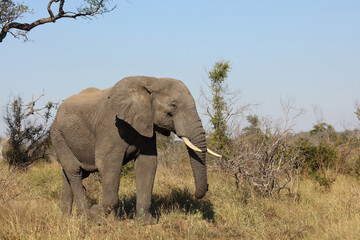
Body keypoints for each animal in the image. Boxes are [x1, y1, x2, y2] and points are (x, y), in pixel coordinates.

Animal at [50, 76, 219, 224]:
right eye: (173, 105)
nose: (202, 190)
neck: (151, 81)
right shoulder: (112, 126)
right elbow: (107, 164)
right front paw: (96, 215)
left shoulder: (146, 125)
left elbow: (147, 164)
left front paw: (146, 223)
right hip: (58, 136)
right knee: (75, 170)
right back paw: (85, 217)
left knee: (70, 173)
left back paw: (65, 217)